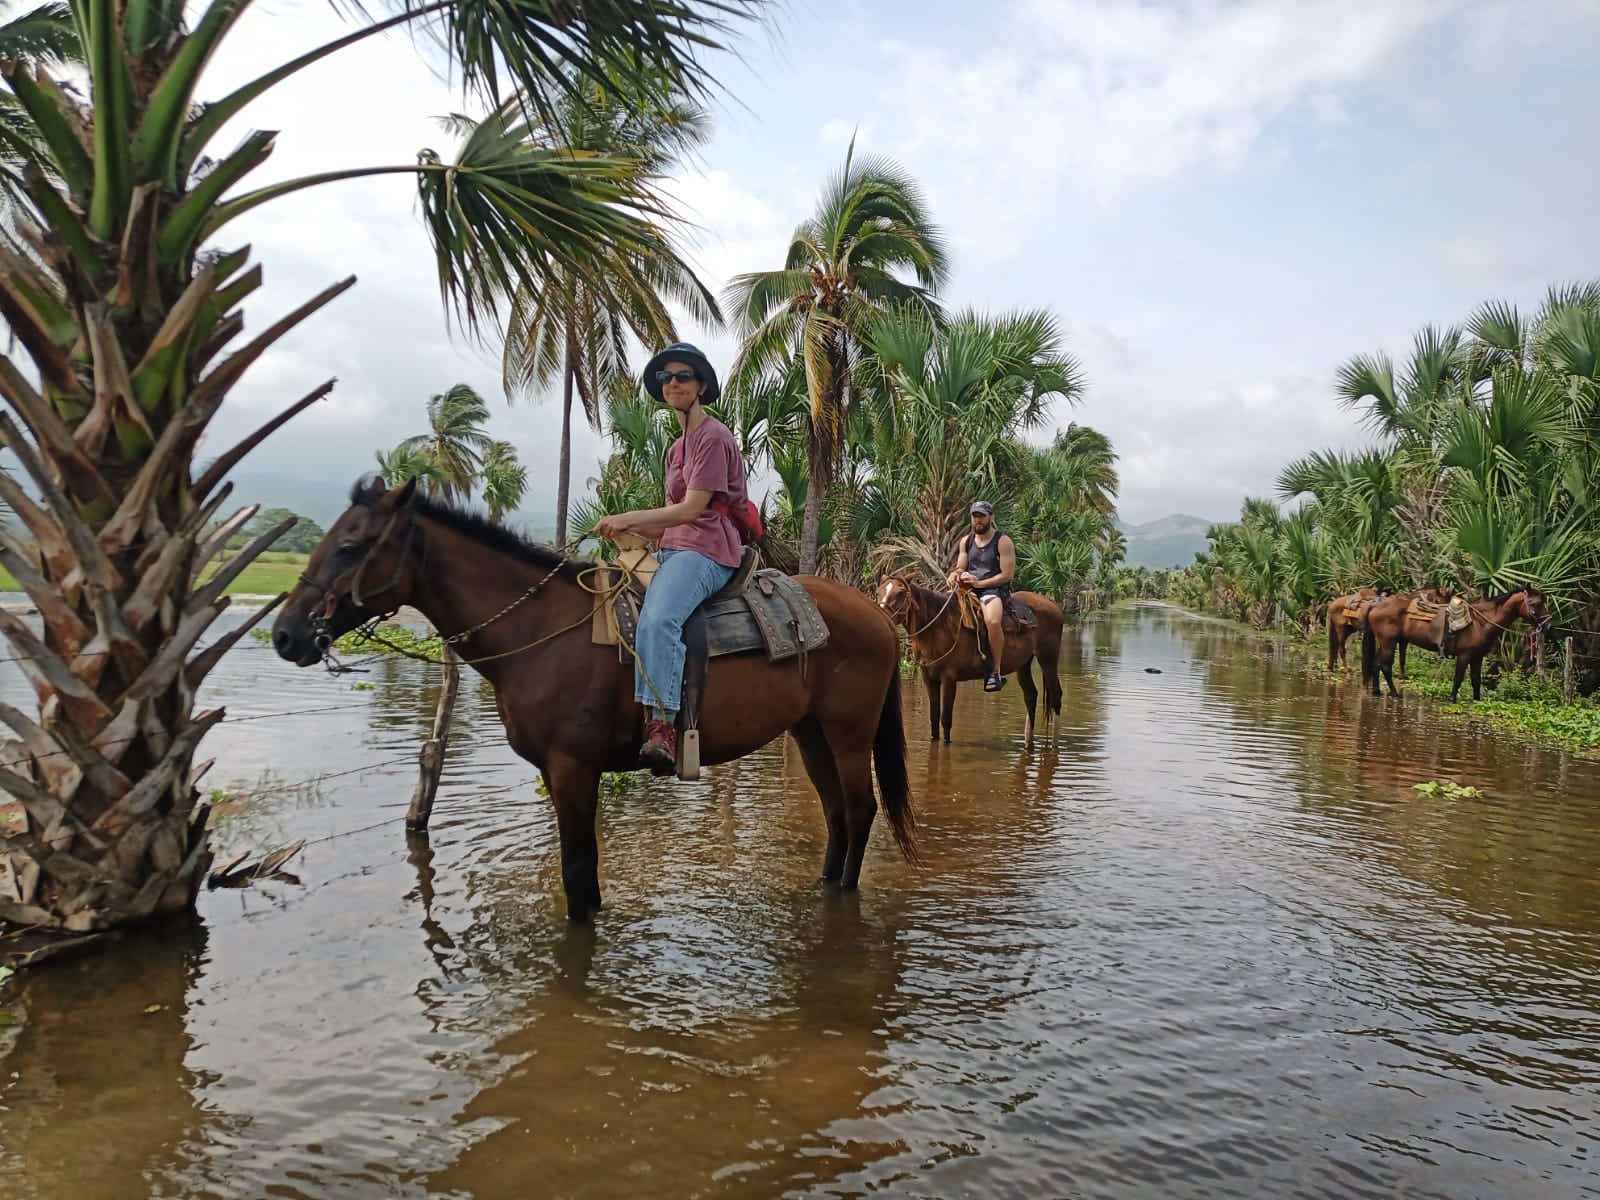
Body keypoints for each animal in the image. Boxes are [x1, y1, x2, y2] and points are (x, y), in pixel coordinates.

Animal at [271, 477, 919, 922]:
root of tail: (879, 617)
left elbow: (578, 876)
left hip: (849, 732)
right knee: (837, 814)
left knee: (860, 809)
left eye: (351, 546)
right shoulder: (561, 772)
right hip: (811, 732)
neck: (540, 629)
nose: (285, 634)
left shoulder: (572, 768)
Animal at [875, 574, 1063, 746]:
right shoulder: (928, 676)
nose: (881, 617)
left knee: (1056, 696)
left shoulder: (949, 677)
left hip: (1048, 657)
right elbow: (934, 718)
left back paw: (1054, 745)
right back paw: (1028, 743)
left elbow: (946, 719)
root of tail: (1053, 604)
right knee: (1030, 696)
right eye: (878, 592)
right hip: (1023, 664)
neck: (938, 627)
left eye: (901, 593)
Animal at [1361, 586, 1552, 700]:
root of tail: (1376, 604)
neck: (1481, 623)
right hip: (1389, 642)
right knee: (1385, 666)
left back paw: (1377, 691)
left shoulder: (1477, 657)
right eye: (1536, 603)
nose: (1549, 625)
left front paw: (1477, 700)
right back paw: (1394, 693)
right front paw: (1452, 699)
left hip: (1386, 642)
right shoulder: (1464, 655)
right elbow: (1459, 678)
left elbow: (1476, 680)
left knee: (1376, 664)